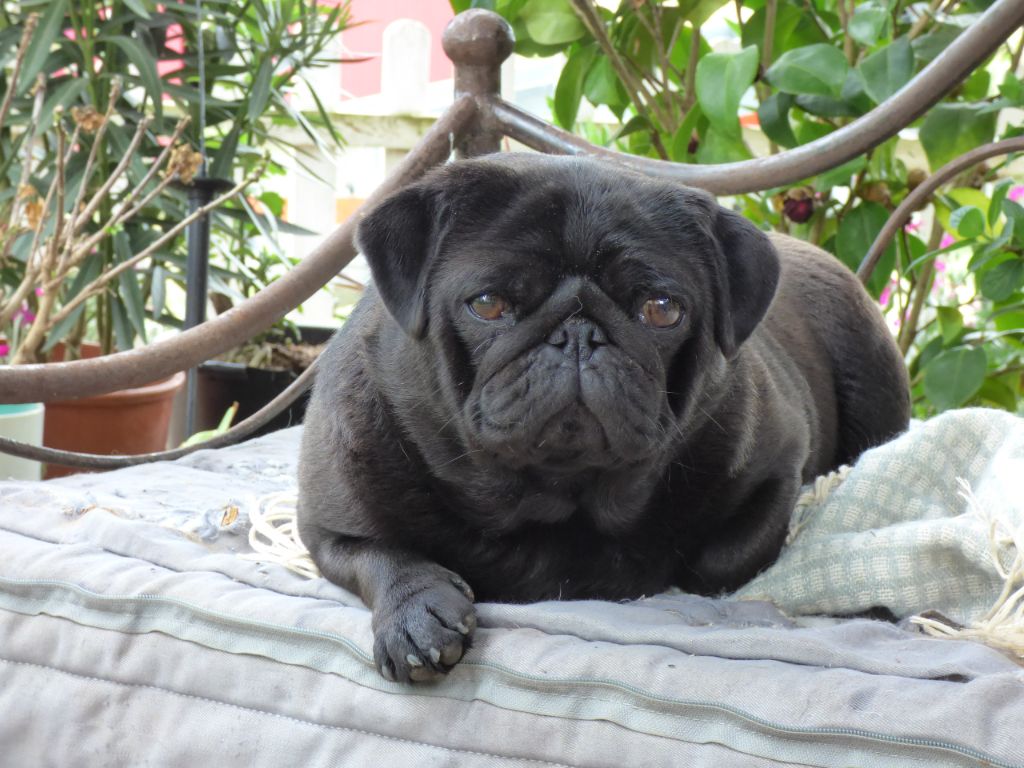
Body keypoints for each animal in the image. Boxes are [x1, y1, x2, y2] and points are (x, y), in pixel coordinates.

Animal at [297, 153, 910, 683]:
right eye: (488, 304)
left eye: (662, 310)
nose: (578, 332)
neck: (554, 494)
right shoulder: (326, 521)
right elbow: (380, 554)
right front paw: (418, 614)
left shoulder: (778, 470)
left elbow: (720, 563)